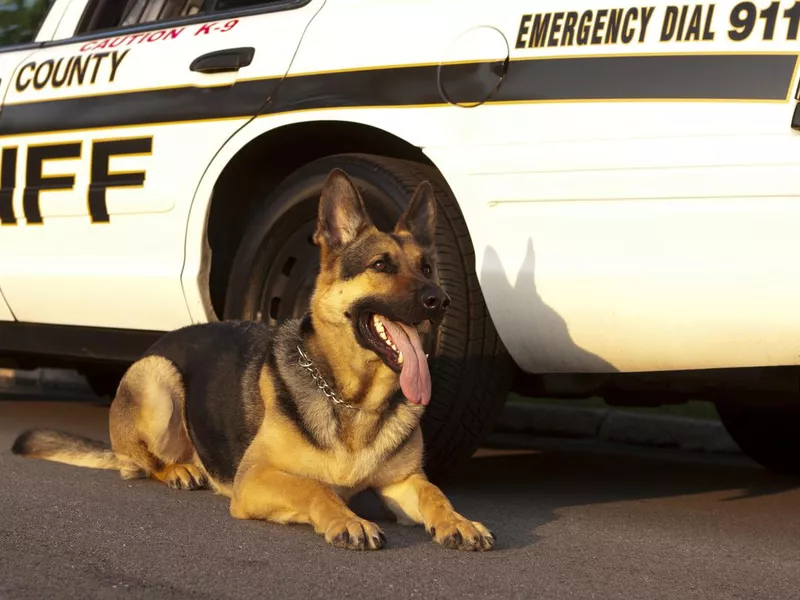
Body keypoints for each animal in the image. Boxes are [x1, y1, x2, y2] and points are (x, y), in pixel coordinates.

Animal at [12, 169, 494, 552]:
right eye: (381, 264)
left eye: (427, 267)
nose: (441, 301)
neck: (351, 400)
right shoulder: (255, 479)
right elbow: (316, 489)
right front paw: (348, 519)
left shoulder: (402, 483)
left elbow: (435, 494)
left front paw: (459, 521)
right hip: (158, 378)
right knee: (143, 464)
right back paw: (180, 470)